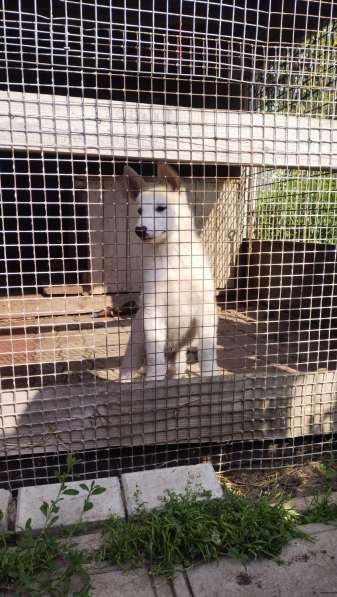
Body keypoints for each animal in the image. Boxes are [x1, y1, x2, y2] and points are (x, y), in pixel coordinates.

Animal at [119, 161, 220, 380]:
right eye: (139, 210)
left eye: (161, 208)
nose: (140, 230)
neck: (172, 257)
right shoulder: (153, 312)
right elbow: (155, 357)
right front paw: (153, 380)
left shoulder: (206, 309)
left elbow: (207, 350)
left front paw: (211, 374)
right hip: (135, 347)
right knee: (128, 370)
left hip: (179, 356)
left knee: (176, 368)